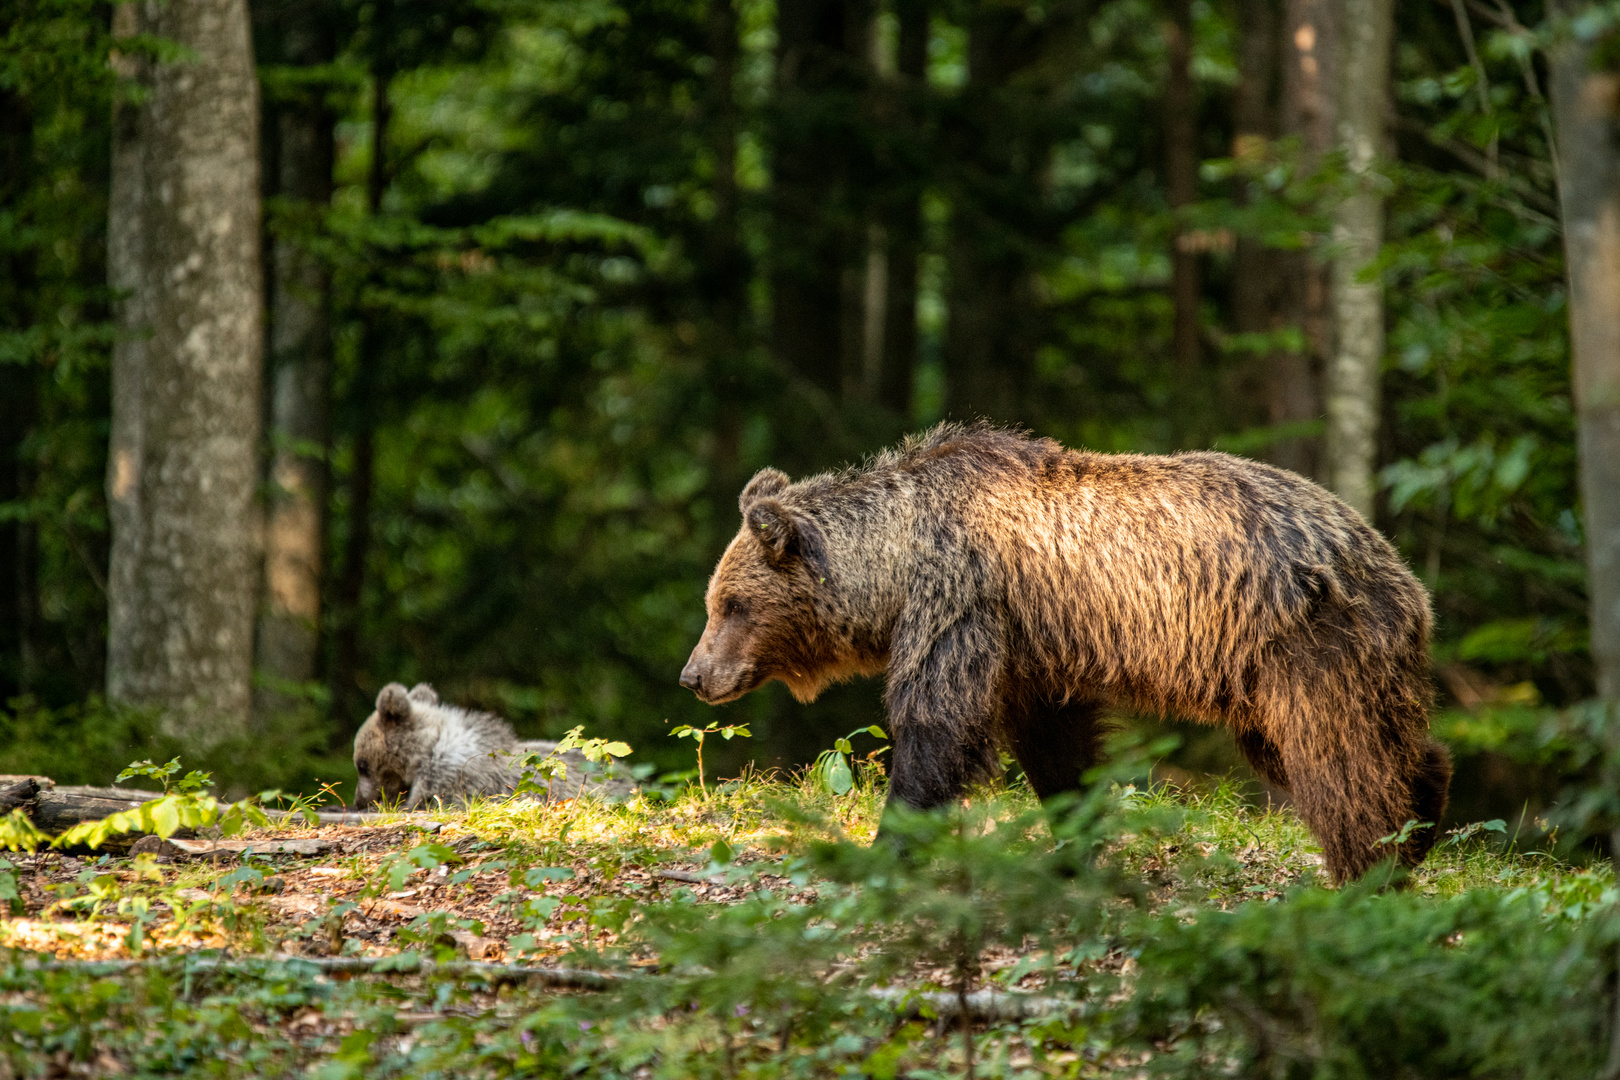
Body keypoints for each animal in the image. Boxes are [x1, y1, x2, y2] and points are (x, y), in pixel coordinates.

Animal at [677, 420, 1451, 880]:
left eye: (730, 604)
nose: (694, 675)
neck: (891, 566)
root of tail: (1400, 571)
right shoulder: (1031, 649)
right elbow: (1054, 743)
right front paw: (1077, 838)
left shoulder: (961, 599)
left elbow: (938, 723)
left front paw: (887, 841)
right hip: (1279, 676)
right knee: (1358, 744)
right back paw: (1423, 814)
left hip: (1306, 647)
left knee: (1336, 757)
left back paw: (1370, 864)